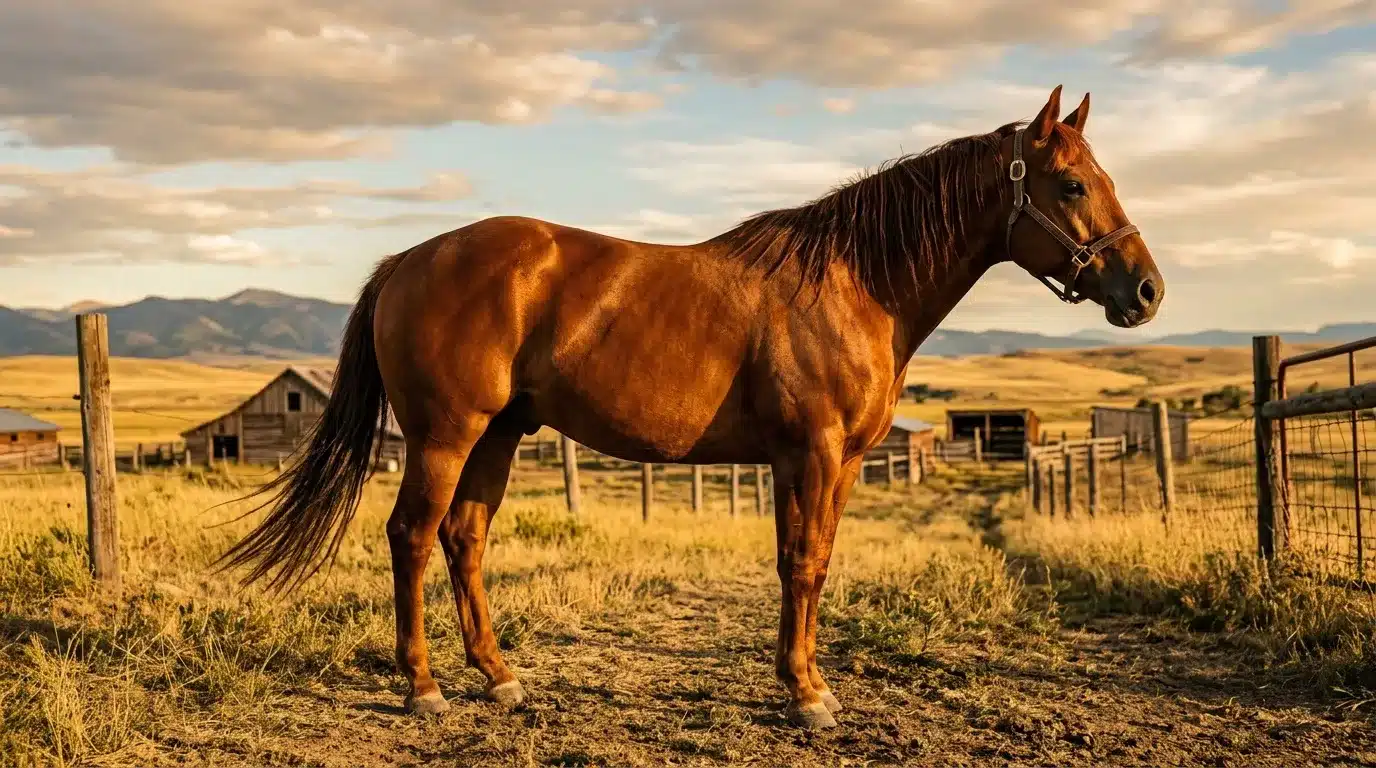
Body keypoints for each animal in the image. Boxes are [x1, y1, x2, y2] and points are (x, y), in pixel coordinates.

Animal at [217, 85, 1164, 730]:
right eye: (1071, 185)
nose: (1147, 291)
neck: (855, 282)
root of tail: (410, 258)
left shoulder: (839, 462)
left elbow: (811, 562)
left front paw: (803, 681)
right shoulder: (812, 452)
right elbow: (802, 565)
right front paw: (807, 695)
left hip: (500, 435)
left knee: (463, 539)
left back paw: (500, 675)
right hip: (445, 436)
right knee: (412, 537)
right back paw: (423, 687)